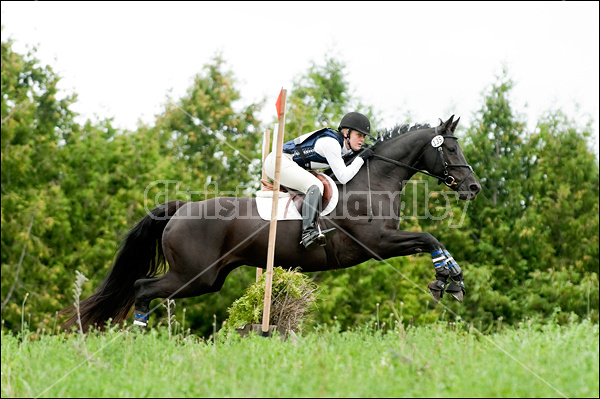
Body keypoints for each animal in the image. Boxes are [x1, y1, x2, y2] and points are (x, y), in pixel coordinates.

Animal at [63, 115, 480, 332]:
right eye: (451, 148)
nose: (473, 187)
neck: (372, 181)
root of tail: (181, 209)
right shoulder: (376, 243)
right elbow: (429, 236)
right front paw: (449, 278)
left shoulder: (383, 242)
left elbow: (429, 239)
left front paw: (450, 280)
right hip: (193, 276)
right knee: (141, 287)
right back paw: (140, 334)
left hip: (207, 279)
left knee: (143, 288)